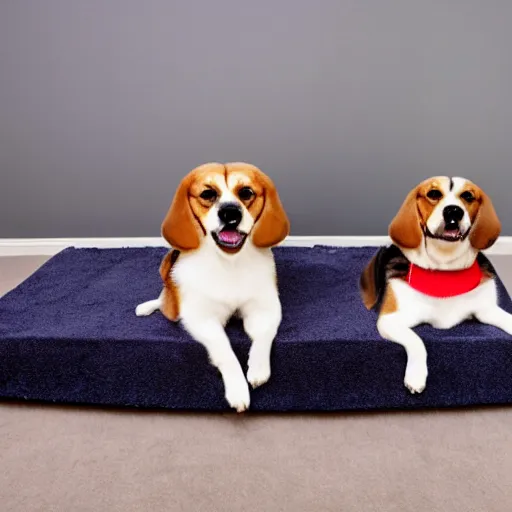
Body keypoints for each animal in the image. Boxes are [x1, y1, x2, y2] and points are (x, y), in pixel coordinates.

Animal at [135, 163, 288, 412]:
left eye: (246, 192)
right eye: (208, 194)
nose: (230, 213)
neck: (229, 263)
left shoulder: (264, 310)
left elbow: (263, 336)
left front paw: (258, 369)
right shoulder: (202, 319)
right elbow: (225, 350)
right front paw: (237, 389)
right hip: (172, 305)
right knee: (164, 301)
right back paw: (147, 307)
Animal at [360, 178, 512, 394]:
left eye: (468, 196)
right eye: (433, 194)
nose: (453, 211)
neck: (444, 269)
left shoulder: (487, 310)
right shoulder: (390, 320)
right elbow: (417, 340)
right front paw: (416, 376)